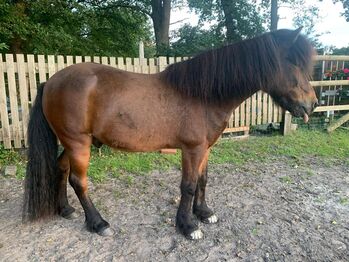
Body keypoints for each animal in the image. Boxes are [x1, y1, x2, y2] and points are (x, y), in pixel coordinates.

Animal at [23, 28, 316, 239]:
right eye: (292, 62)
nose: (312, 104)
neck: (203, 95)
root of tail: (50, 81)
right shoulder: (192, 149)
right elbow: (188, 185)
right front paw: (188, 226)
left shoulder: (205, 148)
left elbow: (202, 180)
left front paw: (204, 213)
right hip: (78, 143)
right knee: (78, 181)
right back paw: (98, 223)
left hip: (71, 142)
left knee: (60, 169)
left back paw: (65, 209)